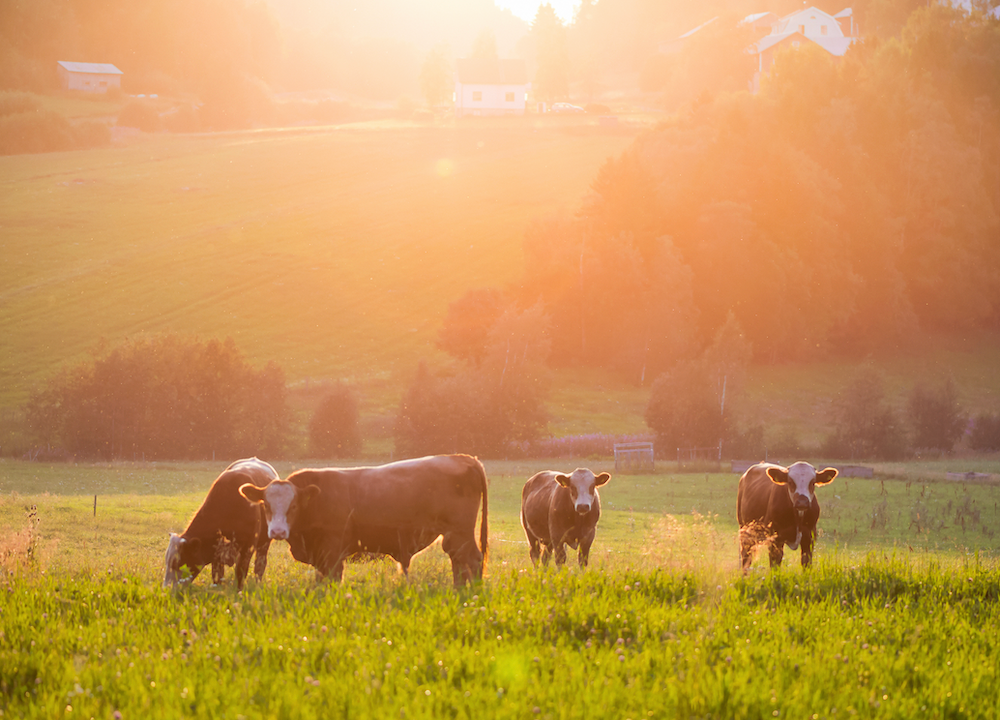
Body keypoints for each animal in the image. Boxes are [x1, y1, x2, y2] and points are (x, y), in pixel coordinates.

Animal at [163, 457, 278, 589]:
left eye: (178, 563)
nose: (166, 589)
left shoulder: (247, 548)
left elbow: (240, 573)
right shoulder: (216, 554)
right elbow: (217, 576)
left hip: (264, 543)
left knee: (260, 565)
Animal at [239, 454, 488, 586]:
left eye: (293, 506)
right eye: (266, 505)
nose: (277, 532)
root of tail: (462, 458)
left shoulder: (332, 551)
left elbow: (332, 579)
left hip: (460, 533)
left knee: (472, 561)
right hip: (454, 537)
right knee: (459, 562)